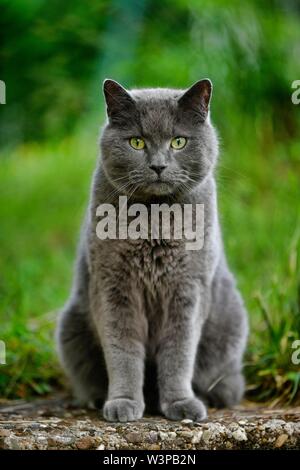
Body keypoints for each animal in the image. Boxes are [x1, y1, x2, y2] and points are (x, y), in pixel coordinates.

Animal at [56, 78, 248, 422]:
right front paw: (123, 402)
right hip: (72, 326)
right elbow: (122, 352)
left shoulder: (187, 289)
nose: (158, 165)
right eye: (136, 142)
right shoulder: (112, 287)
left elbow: (179, 353)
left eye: (178, 141)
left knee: (227, 383)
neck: (154, 220)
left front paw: (181, 404)